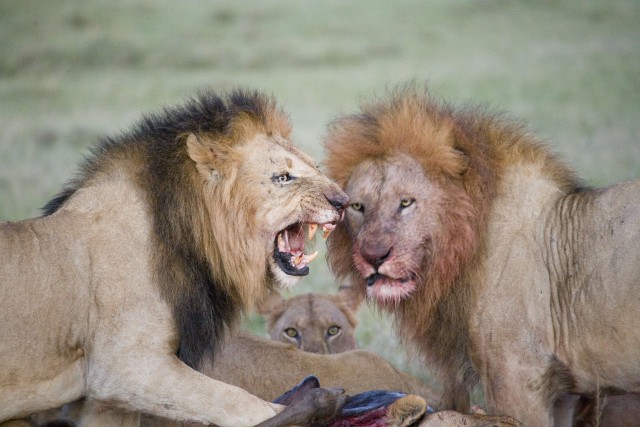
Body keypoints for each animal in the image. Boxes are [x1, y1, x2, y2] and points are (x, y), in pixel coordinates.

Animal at [0, 88, 350, 426]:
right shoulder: (123, 366)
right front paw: (316, 403)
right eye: (283, 177)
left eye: (316, 167)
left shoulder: (108, 402)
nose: (343, 201)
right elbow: (237, 401)